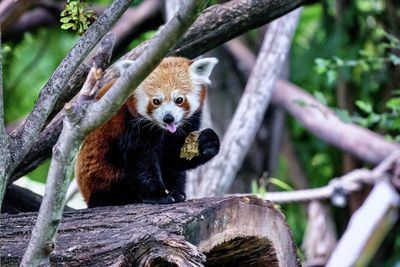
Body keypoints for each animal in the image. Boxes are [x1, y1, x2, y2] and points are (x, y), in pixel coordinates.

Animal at [75, 57, 219, 207]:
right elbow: (141, 161)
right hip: (104, 175)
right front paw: (159, 196)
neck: (163, 130)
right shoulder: (132, 123)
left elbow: (174, 158)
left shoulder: (190, 122)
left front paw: (207, 143)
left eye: (179, 100)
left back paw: (177, 191)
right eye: (156, 101)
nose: (168, 118)